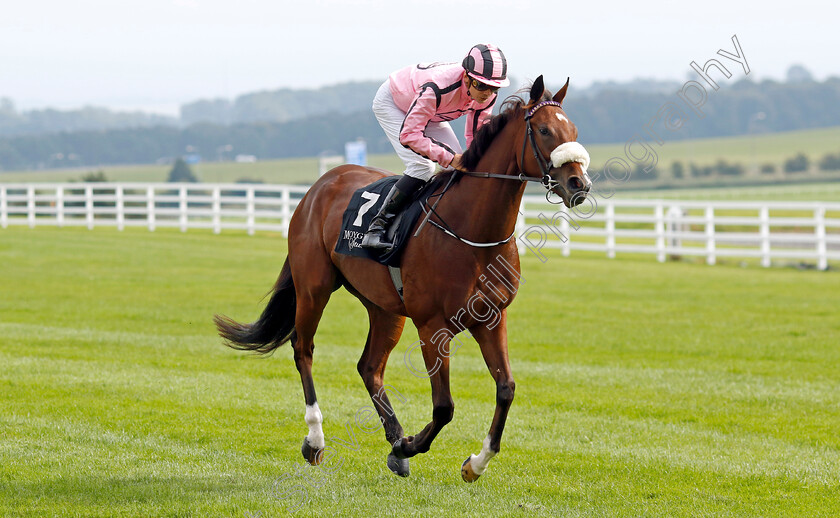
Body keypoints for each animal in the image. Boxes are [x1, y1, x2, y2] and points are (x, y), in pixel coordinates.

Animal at [215, 75, 592, 486]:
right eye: (543, 130)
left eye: (574, 130)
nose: (579, 184)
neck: (473, 232)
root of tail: (320, 184)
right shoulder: (432, 326)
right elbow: (444, 406)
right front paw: (412, 445)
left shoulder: (492, 318)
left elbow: (506, 389)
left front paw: (473, 463)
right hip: (313, 287)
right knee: (304, 348)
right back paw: (317, 439)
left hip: (384, 308)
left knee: (369, 367)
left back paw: (394, 440)